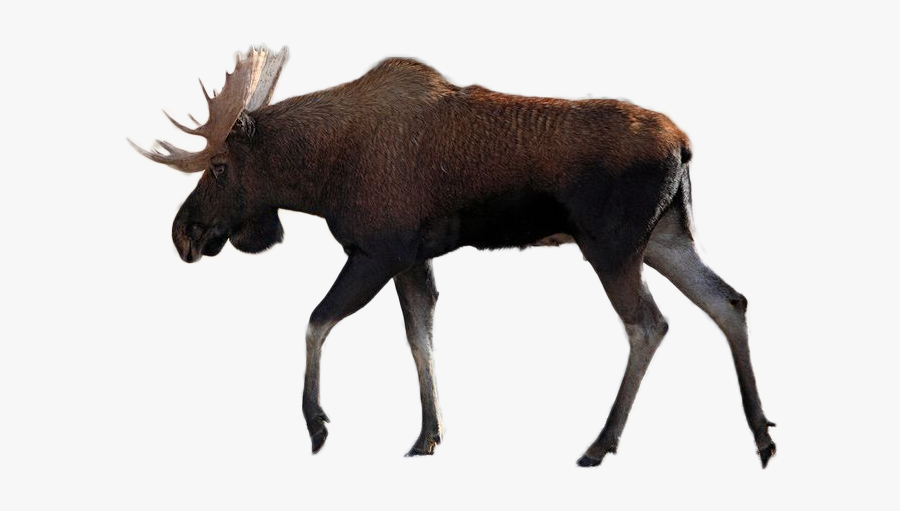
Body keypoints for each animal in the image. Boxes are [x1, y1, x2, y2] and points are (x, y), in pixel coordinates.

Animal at [129, 46, 776, 468]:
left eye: (218, 167)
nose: (183, 234)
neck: (316, 175)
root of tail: (684, 145)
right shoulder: (412, 259)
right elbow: (420, 337)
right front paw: (427, 435)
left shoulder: (377, 251)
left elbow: (316, 322)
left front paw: (316, 423)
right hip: (666, 239)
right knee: (729, 301)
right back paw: (761, 434)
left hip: (612, 248)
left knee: (649, 325)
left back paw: (600, 444)